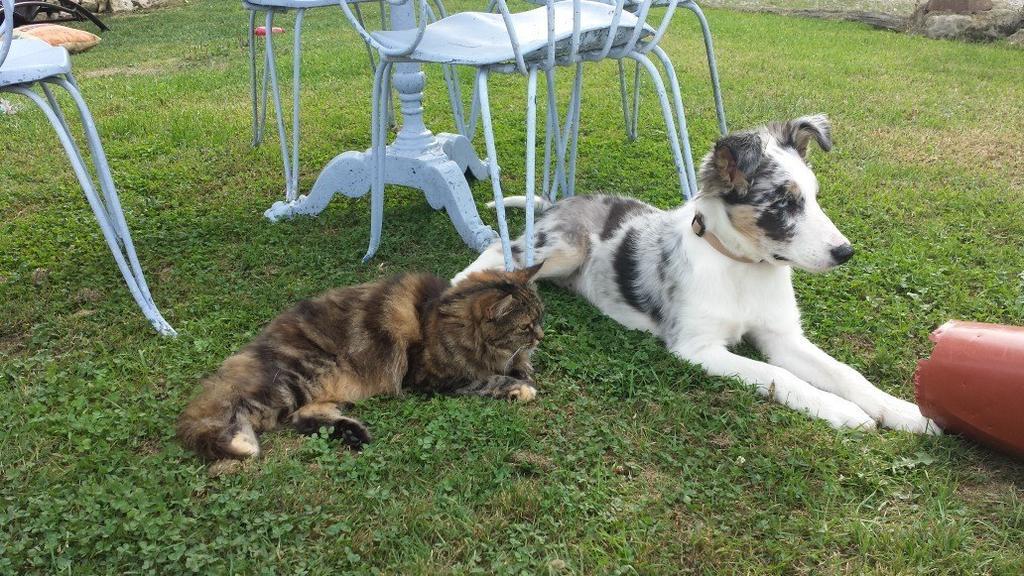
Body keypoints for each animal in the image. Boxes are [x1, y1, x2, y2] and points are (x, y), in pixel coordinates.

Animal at [178, 262, 544, 459]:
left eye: (541, 317)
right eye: (526, 326)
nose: (541, 336)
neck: (444, 317)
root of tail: (257, 347)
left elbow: (514, 366)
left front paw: (524, 369)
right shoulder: (430, 377)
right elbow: (487, 378)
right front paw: (520, 386)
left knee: (304, 419)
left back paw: (355, 435)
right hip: (292, 383)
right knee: (235, 413)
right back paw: (241, 444)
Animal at [460, 114, 937, 430]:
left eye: (815, 197)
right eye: (784, 203)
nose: (845, 252)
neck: (742, 269)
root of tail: (560, 201)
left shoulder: (782, 338)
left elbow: (843, 372)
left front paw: (903, 411)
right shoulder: (697, 347)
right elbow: (777, 376)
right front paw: (843, 412)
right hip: (562, 248)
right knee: (500, 250)